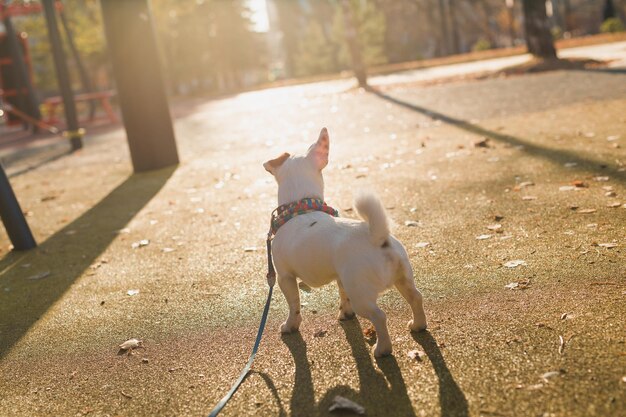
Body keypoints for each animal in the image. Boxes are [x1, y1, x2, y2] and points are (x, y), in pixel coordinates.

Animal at [260, 127, 426, 358]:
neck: (301, 207)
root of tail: (378, 238)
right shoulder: (341, 277)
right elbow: (342, 294)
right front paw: (346, 314)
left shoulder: (285, 277)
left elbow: (294, 305)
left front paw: (290, 326)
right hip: (402, 279)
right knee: (416, 298)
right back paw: (418, 325)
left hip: (361, 295)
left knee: (379, 316)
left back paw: (382, 349)